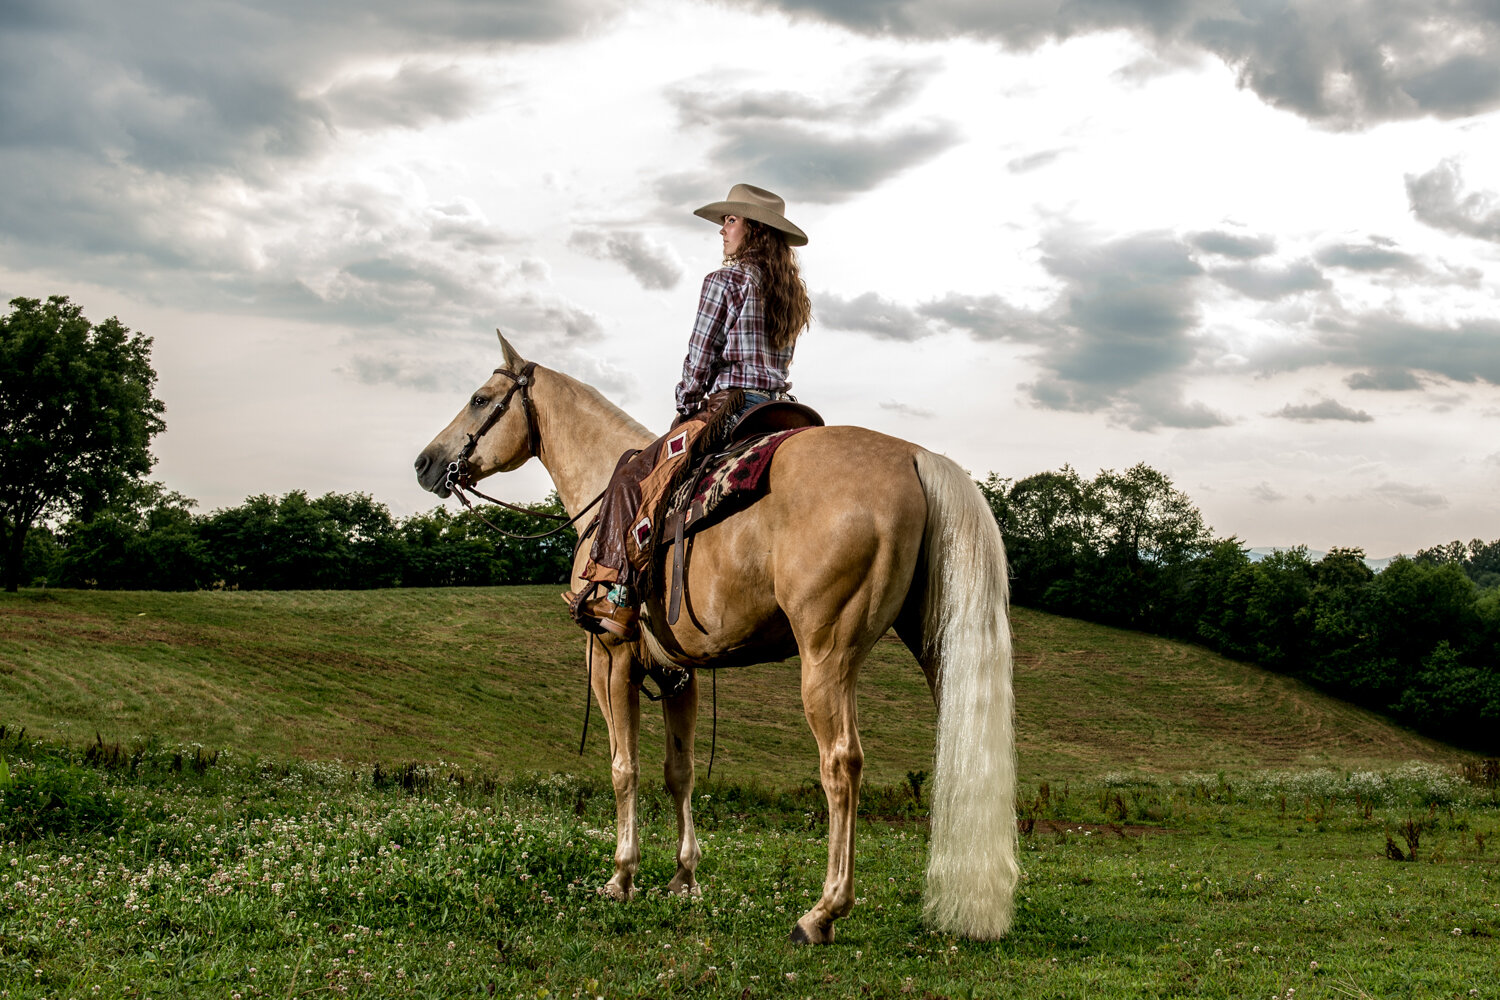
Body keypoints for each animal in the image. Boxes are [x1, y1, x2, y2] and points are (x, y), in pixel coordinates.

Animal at [413, 332, 1018, 943]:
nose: (425, 462)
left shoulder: (610, 658)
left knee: (841, 763)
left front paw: (621, 876)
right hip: (935, 647)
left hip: (827, 657)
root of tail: (915, 456)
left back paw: (822, 912)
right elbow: (677, 772)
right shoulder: (678, 673)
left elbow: (624, 768)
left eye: (480, 400)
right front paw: (684, 876)